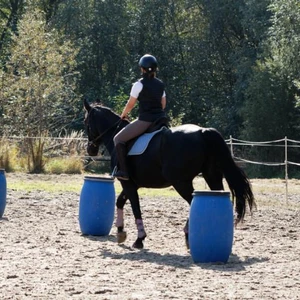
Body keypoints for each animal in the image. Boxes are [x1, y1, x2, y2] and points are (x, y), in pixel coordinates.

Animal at [84, 99, 255, 250]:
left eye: (86, 123)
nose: (90, 149)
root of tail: (202, 131)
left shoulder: (127, 183)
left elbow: (135, 208)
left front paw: (139, 239)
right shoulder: (132, 184)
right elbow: (119, 202)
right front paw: (120, 232)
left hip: (181, 182)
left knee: (193, 200)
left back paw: (187, 234)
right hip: (211, 177)